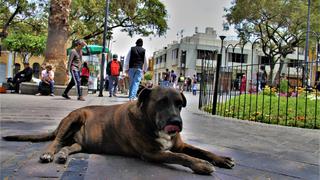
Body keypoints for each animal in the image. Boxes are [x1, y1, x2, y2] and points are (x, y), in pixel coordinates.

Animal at [1, 86, 234, 175]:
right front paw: (201, 165)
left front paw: (220, 159)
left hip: (79, 143)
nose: (176, 122)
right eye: (161, 102)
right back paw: (50, 153)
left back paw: (63, 155)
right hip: (74, 118)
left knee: (68, 146)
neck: (149, 120)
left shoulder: (180, 144)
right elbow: (180, 156)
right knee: (56, 141)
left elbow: (200, 150)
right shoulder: (152, 153)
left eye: (179, 104)